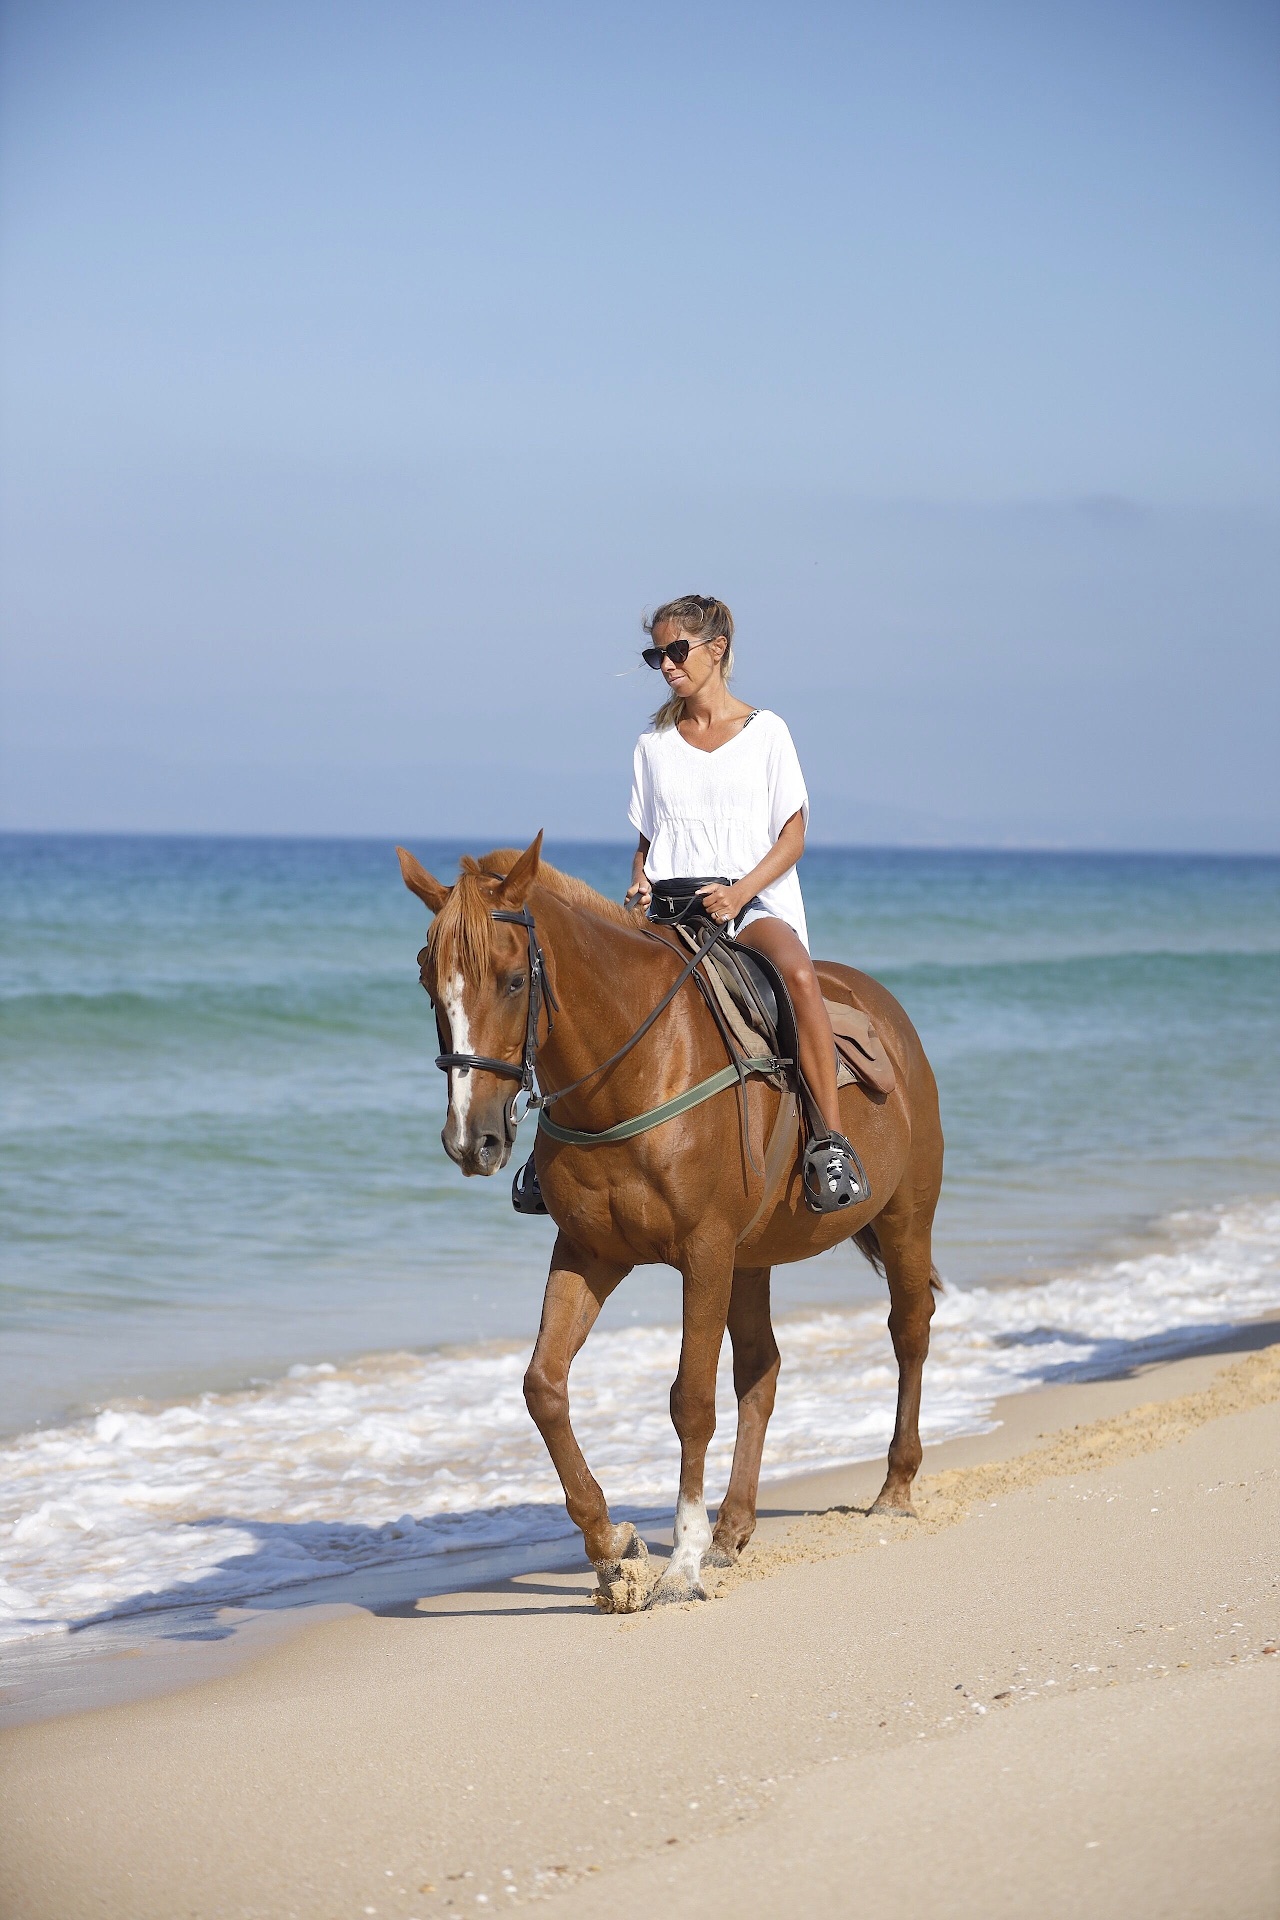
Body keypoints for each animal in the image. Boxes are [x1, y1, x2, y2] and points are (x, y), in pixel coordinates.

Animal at [397, 833, 944, 1610]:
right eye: (428, 983)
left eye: (510, 981)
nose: (472, 1141)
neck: (632, 1073)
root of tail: (886, 1010)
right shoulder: (589, 1250)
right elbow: (544, 1386)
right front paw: (610, 1548)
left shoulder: (704, 1253)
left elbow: (691, 1400)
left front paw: (679, 1565)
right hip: (753, 1257)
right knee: (761, 1371)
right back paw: (732, 1531)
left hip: (903, 1219)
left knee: (909, 1332)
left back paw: (894, 1488)